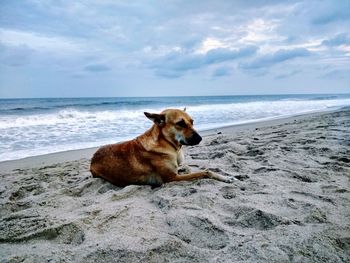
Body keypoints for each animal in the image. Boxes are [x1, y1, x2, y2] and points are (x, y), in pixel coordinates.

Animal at [89, 108, 232, 187]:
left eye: (192, 122)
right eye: (180, 123)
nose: (200, 139)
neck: (170, 145)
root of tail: (93, 158)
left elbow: (191, 168)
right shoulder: (172, 178)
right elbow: (205, 172)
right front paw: (226, 178)